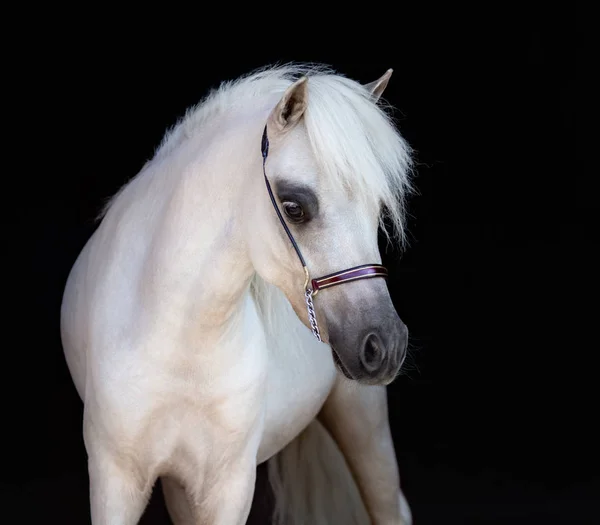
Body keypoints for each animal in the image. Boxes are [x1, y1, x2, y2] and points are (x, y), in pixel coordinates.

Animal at [61, 62, 414, 524]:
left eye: (377, 210)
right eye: (294, 207)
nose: (384, 345)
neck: (177, 344)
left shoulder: (228, 487)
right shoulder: (113, 480)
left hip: (363, 419)